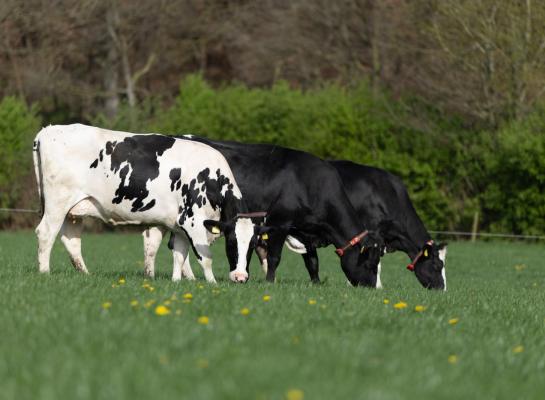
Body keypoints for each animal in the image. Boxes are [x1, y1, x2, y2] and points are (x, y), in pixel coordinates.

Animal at [30, 123, 264, 282]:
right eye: (231, 243)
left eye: (253, 245)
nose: (241, 277)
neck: (211, 178)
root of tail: (48, 130)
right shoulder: (193, 221)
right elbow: (204, 257)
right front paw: (213, 284)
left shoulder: (178, 225)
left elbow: (179, 254)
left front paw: (176, 282)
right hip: (57, 203)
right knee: (46, 233)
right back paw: (44, 272)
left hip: (74, 210)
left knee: (71, 240)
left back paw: (86, 274)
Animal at [142, 138, 384, 288]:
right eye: (371, 265)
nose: (371, 287)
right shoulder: (280, 222)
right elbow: (275, 257)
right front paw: (270, 281)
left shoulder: (304, 231)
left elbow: (312, 261)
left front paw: (315, 284)